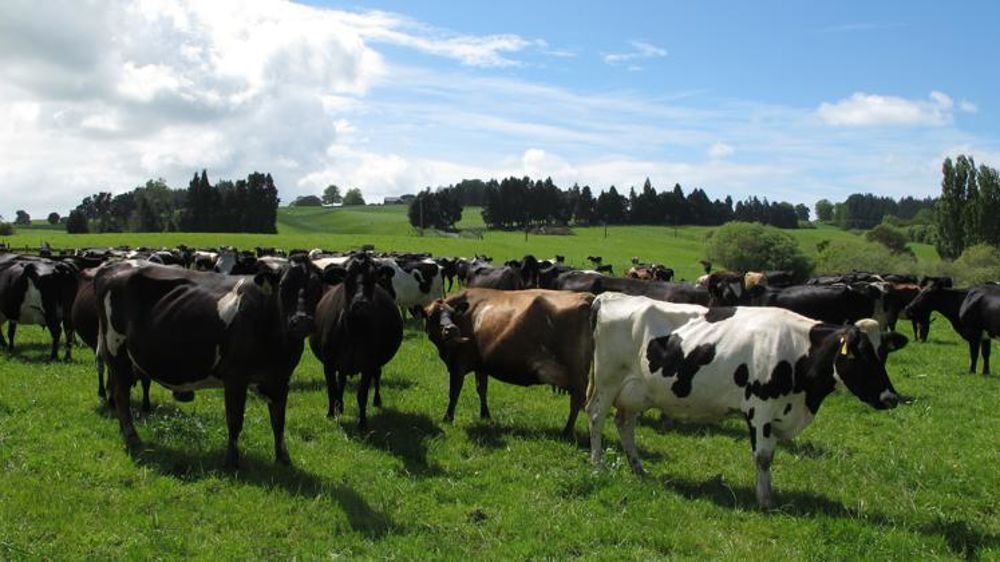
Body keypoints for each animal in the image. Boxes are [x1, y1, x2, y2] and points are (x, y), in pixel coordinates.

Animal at [95, 257, 323, 469]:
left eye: (318, 287)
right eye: (283, 286)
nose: (301, 321)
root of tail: (112, 266)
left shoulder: (281, 378)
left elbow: (279, 420)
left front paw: (283, 459)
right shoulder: (235, 377)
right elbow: (235, 419)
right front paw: (231, 460)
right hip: (116, 350)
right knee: (121, 394)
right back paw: (132, 437)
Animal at [310, 255, 403, 429]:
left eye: (373, 278)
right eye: (347, 278)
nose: (361, 303)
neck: (353, 330)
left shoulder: (368, 364)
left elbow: (362, 395)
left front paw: (362, 423)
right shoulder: (328, 363)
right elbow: (332, 389)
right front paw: (331, 413)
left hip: (376, 364)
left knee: (377, 376)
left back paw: (377, 401)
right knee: (341, 381)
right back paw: (340, 406)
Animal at [421, 288, 594, 437]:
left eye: (452, 314)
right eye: (431, 316)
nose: (450, 330)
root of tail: (587, 298)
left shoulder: (458, 363)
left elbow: (454, 392)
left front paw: (447, 419)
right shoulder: (481, 364)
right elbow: (482, 389)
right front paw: (485, 416)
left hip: (576, 374)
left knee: (577, 401)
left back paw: (567, 432)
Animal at [587, 293, 907, 508]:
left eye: (883, 353)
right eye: (860, 355)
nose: (890, 398)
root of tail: (610, 296)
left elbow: (770, 456)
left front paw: (768, 494)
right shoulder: (761, 408)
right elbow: (763, 456)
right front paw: (765, 501)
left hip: (636, 391)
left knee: (624, 423)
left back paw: (638, 468)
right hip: (608, 380)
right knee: (596, 416)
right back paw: (598, 465)